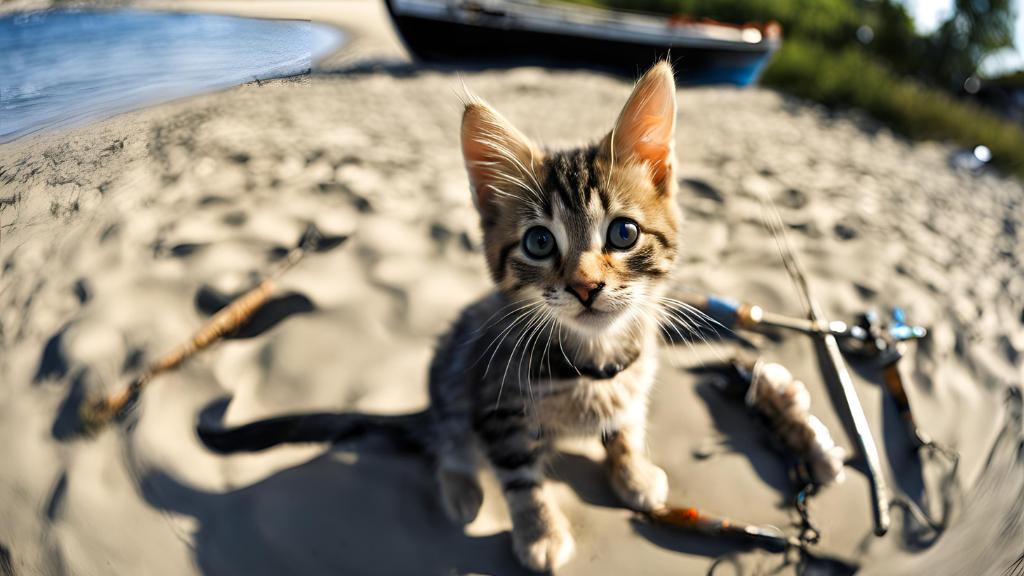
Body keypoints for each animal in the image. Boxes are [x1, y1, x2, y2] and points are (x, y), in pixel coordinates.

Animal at [198, 60, 679, 569]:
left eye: (624, 233)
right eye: (539, 242)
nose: (586, 287)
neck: (593, 358)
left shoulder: (630, 383)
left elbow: (626, 427)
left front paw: (632, 471)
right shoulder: (492, 403)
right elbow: (520, 476)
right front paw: (539, 532)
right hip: (449, 374)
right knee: (448, 440)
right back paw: (461, 486)